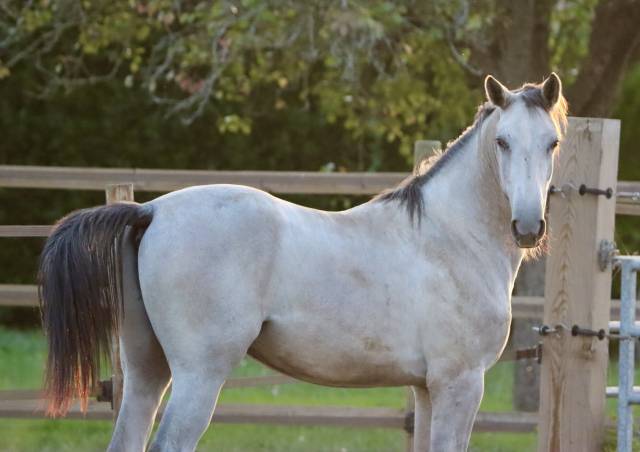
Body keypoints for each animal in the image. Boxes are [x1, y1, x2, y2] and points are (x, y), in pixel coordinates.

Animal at [38, 72, 564, 450]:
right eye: (502, 141)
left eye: (552, 143)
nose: (527, 226)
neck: (450, 235)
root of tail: (151, 210)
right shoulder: (460, 383)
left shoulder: (427, 388)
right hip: (198, 375)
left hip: (148, 370)